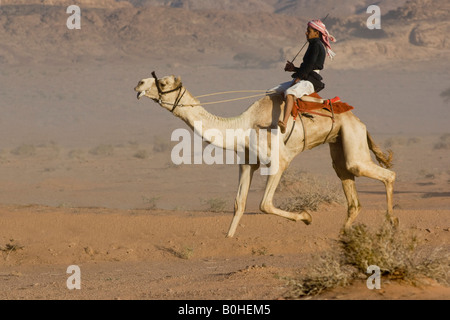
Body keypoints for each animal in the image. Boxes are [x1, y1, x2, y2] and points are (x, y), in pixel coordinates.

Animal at [134, 73, 398, 238]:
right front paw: (228, 238)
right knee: (348, 183)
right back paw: (344, 233)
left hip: (353, 139)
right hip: (339, 142)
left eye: (163, 82)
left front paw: (306, 217)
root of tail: (359, 121)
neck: (242, 127)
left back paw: (392, 223)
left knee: (384, 173)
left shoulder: (279, 162)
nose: (138, 83)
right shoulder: (246, 163)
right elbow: (239, 203)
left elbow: (264, 204)